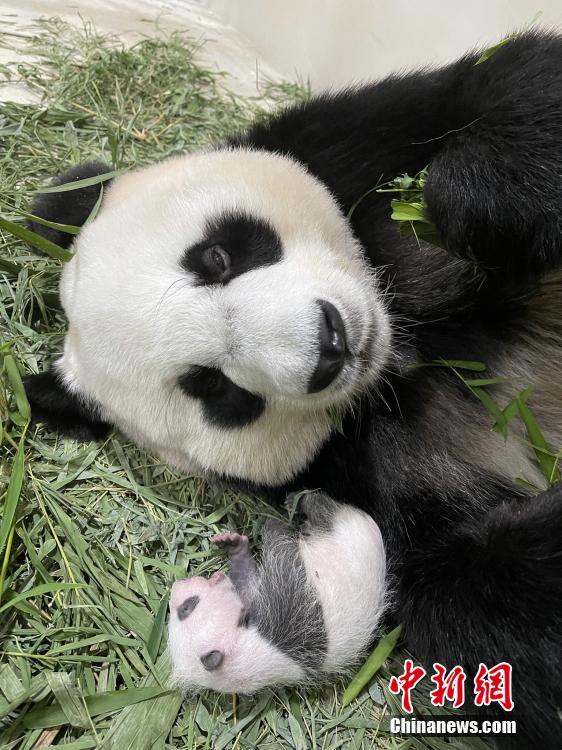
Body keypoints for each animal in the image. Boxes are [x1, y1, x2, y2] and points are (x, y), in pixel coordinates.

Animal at [24, 30, 562, 748]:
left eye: (217, 257)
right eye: (213, 387)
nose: (330, 344)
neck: (404, 348)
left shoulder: (349, 147)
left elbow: (504, 90)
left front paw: (466, 199)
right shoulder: (361, 476)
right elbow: (470, 588)